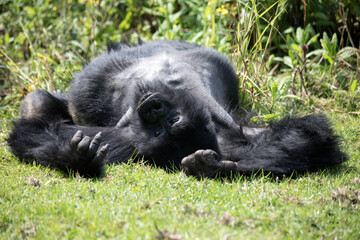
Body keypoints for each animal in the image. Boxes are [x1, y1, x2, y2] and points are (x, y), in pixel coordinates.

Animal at [7, 39, 346, 178]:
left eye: (164, 127)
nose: (151, 109)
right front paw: (74, 156)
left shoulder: (131, 140)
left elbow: (307, 141)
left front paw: (216, 168)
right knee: (38, 104)